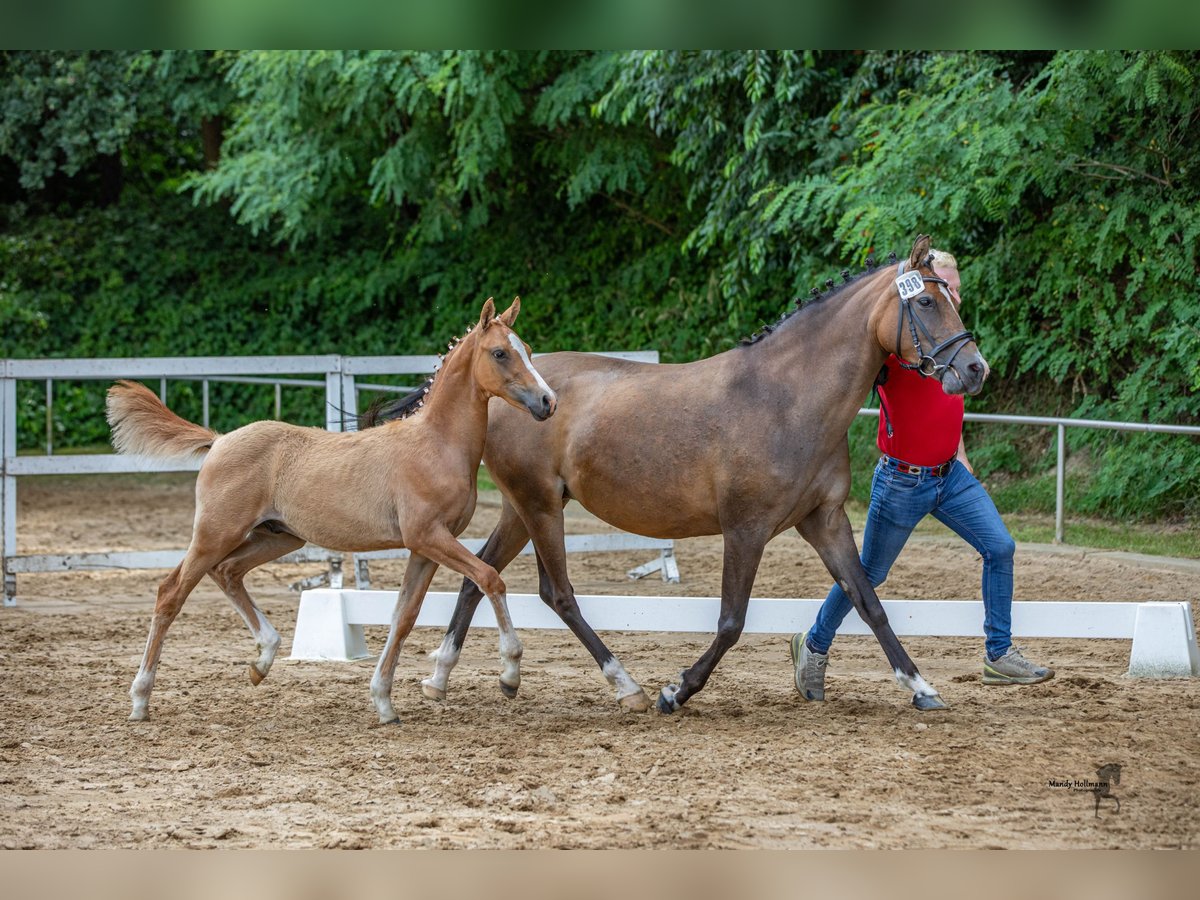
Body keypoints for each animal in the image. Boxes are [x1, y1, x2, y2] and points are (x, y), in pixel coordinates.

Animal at [105, 297, 554, 724]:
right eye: (500, 353)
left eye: (529, 350)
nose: (548, 401)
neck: (435, 444)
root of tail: (218, 441)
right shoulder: (429, 536)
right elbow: (490, 579)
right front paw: (510, 674)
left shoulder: (425, 547)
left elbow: (404, 617)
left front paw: (384, 703)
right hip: (215, 533)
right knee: (170, 593)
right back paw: (140, 699)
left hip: (277, 536)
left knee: (227, 571)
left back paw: (262, 660)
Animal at [372, 236, 984, 715]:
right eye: (926, 300)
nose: (975, 369)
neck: (788, 399)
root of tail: (517, 393)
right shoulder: (746, 529)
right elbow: (732, 621)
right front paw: (677, 690)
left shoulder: (824, 520)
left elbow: (866, 600)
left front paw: (921, 687)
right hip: (540, 505)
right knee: (557, 592)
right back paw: (627, 687)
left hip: (526, 510)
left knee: (481, 576)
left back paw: (442, 678)